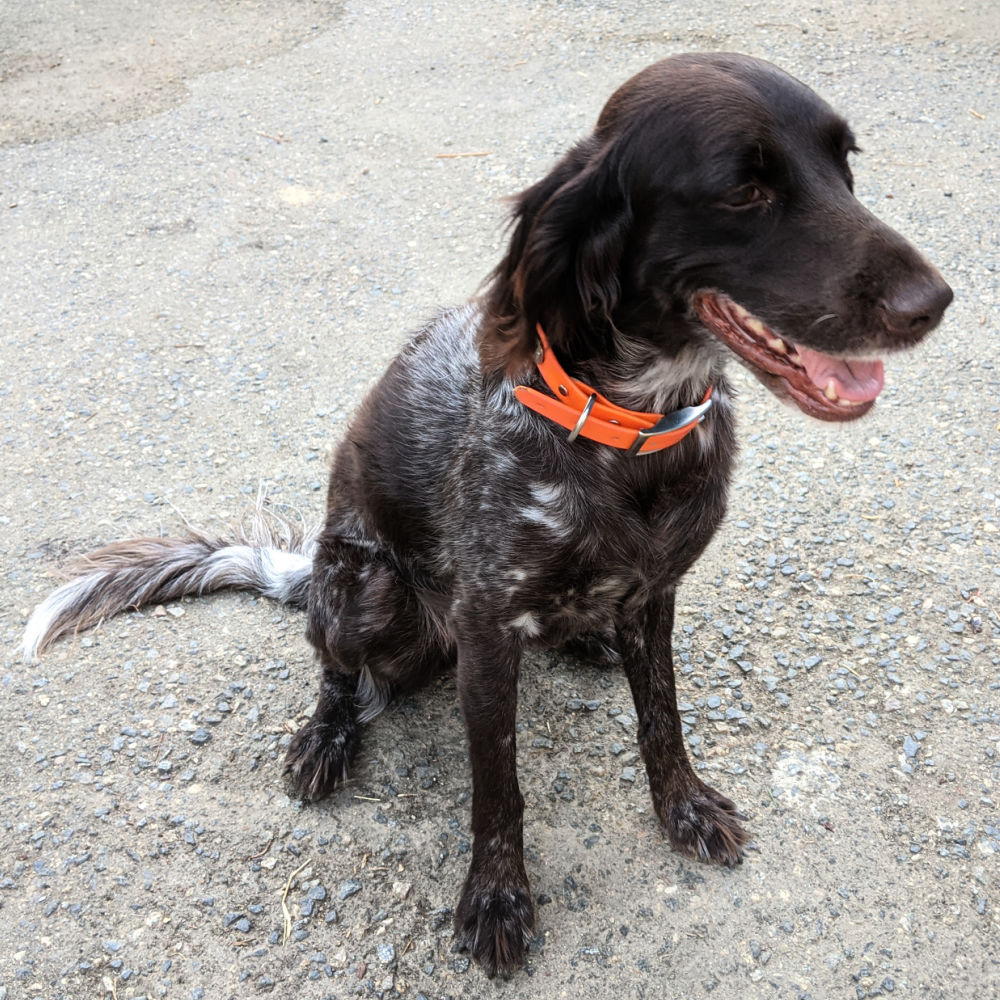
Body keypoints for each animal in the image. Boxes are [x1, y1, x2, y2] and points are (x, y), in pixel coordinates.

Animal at [19, 54, 948, 976]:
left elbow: (663, 721)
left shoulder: (656, 594)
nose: (935, 301)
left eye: (845, 168)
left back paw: (584, 639)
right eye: (743, 190)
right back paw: (325, 739)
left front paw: (683, 809)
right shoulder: (489, 630)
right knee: (333, 666)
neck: (631, 428)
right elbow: (498, 786)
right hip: (364, 591)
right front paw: (497, 899)